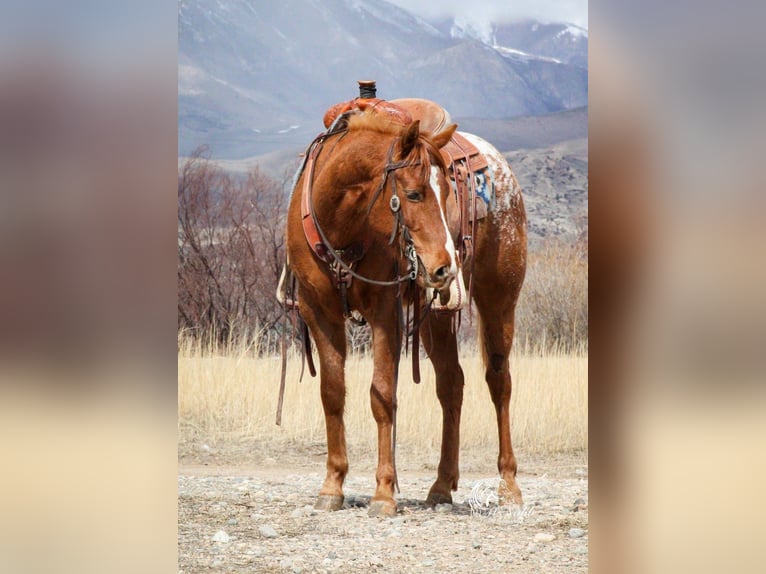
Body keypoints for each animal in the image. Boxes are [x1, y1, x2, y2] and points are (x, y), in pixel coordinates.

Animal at [282, 104, 528, 520]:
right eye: (413, 194)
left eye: (447, 192)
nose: (445, 266)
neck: (343, 223)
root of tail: (501, 167)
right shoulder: (319, 311)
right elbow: (332, 392)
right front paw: (332, 486)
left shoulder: (385, 310)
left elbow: (382, 394)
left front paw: (384, 492)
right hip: (436, 316)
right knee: (451, 384)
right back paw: (442, 486)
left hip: (499, 299)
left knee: (499, 382)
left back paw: (509, 486)